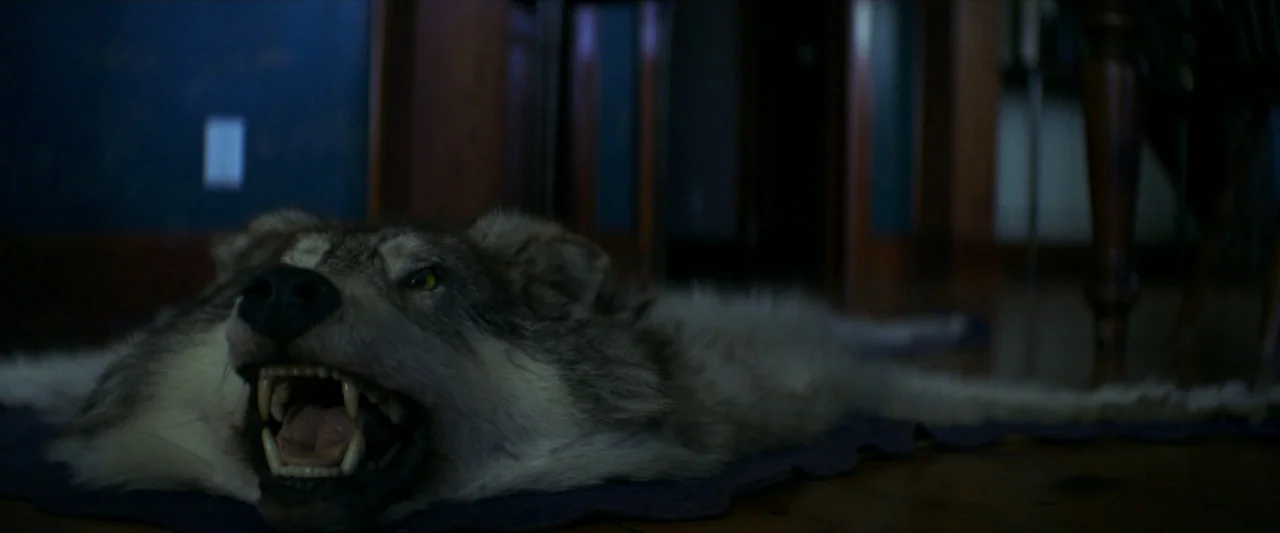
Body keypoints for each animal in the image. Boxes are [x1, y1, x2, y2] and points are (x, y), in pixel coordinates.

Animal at [1, 208, 1277, 532]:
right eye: (293, 268)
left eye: (424, 280)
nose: (276, 295)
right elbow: (50, 369)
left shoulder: (867, 397)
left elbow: (1047, 398)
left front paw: (1211, 396)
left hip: (836, 338)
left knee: (888, 332)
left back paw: (948, 312)